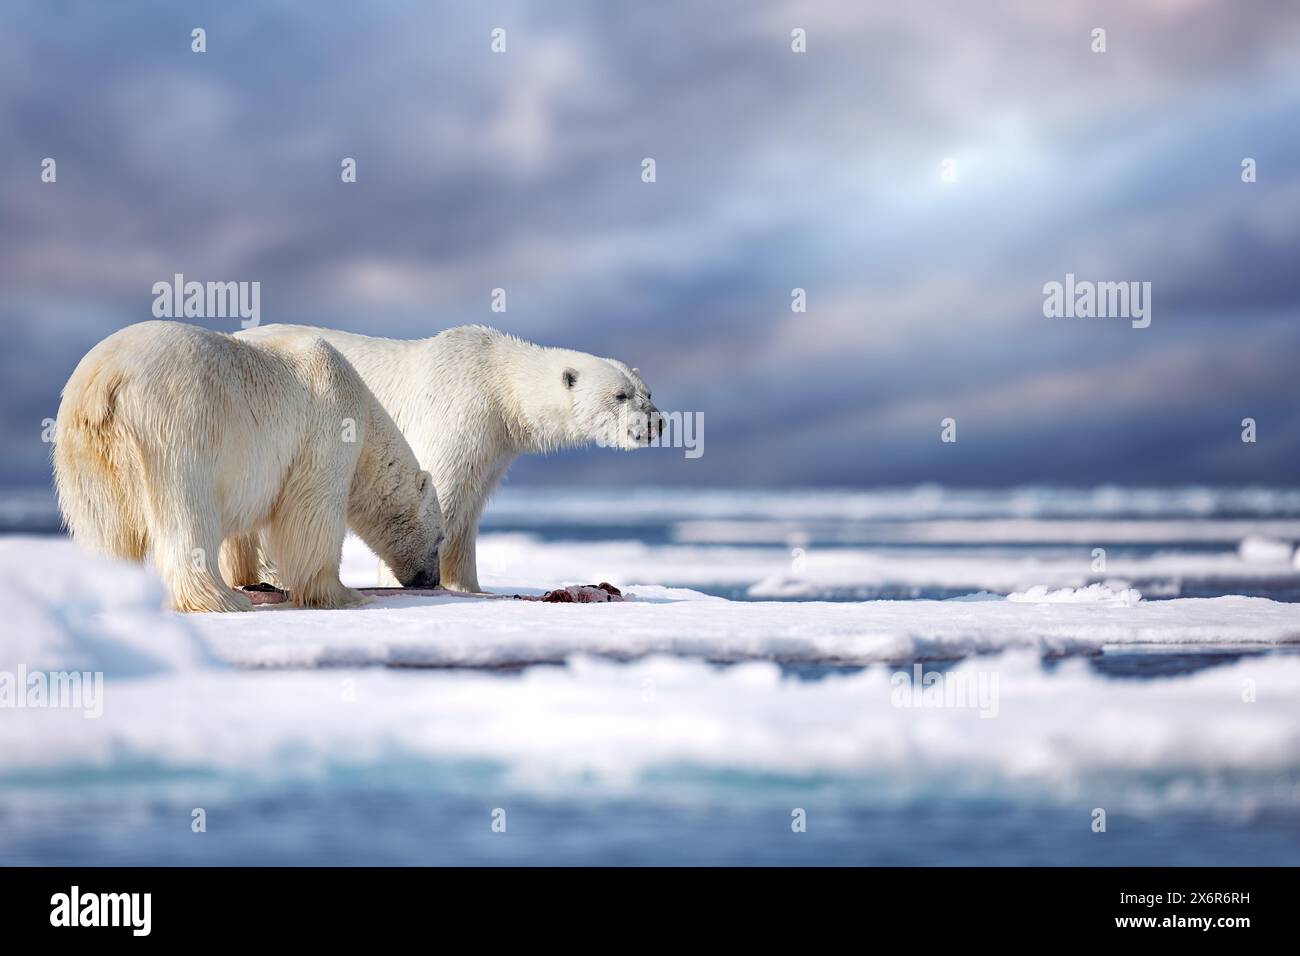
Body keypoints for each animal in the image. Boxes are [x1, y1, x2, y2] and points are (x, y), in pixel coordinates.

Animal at [53, 317, 441, 608]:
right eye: (440, 539)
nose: (431, 580)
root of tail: (104, 382)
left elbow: (241, 530)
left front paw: (250, 578)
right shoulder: (329, 425)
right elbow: (313, 511)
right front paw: (339, 593)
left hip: (85, 452)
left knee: (104, 527)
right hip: (176, 430)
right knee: (188, 515)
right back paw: (220, 599)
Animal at [237, 323, 660, 590]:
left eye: (648, 392)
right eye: (620, 395)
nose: (657, 423)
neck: (495, 379)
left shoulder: (492, 444)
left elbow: (468, 510)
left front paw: (469, 586)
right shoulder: (457, 413)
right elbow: (437, 493)